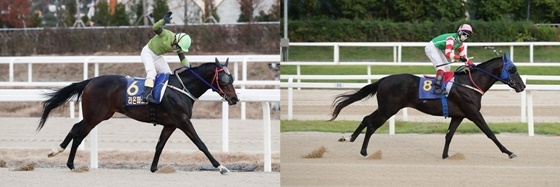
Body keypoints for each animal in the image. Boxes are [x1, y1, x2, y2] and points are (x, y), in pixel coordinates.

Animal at [37, 58, 238, 174]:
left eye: (232, 79)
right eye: (224, 80)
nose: (235, 99)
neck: (182, 88)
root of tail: (90, 81)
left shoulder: (171, 124)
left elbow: (159, 145)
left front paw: (154, 167)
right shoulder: (182, 120)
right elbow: (200, 143)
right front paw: (221, 167)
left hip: (98, 115)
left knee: (76, 130)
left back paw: (63, 157)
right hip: (95, 116)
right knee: (78, 132)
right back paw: (63, 158)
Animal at [328, 53, 524, 159]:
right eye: (512, 70)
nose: (523, 86)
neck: (469, 83)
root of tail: (384, 79)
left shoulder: (458, 115)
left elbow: (449, 135)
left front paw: (446, 155)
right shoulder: (473, 113)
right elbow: (490, 133)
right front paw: (509, 152)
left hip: (384, 107)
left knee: (366, 118)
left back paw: (349, 138)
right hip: (388, 109)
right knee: (371, 125)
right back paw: (364, 151)